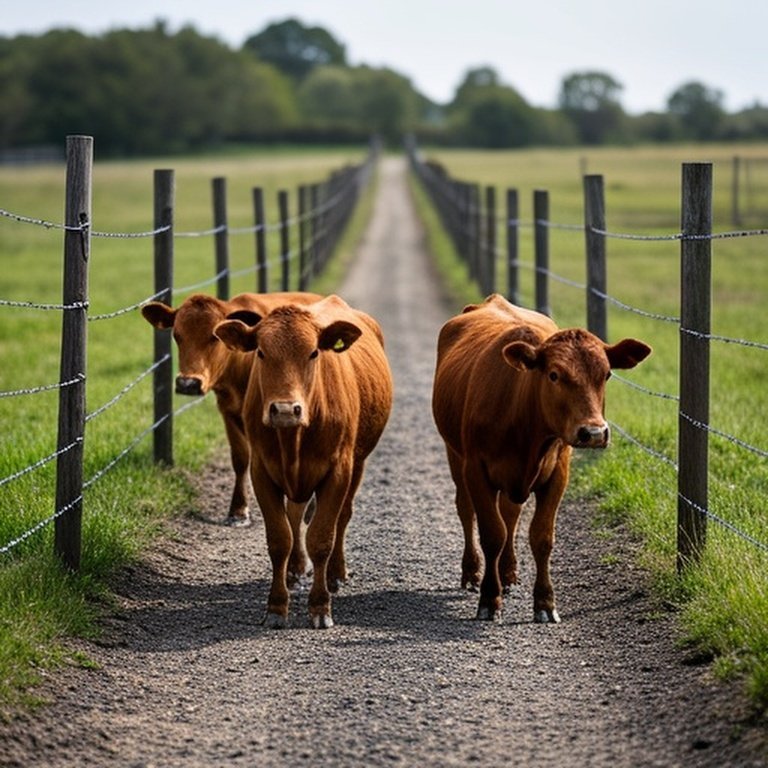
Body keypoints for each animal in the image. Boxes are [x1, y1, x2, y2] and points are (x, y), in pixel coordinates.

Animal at [214, 294, 393, 629]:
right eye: (261, 352)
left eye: (313, 353)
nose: (285, 410)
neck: (293, 438)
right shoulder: (262, 471)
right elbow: (279, 538)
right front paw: (276, 606)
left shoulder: (338, 472)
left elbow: (322, 538)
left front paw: (320, 606)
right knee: (295, 515)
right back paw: (294, 570)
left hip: (358, 463)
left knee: (343, 516)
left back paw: (336, 573)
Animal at [432, 294, 651, 624]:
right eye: (554, 375)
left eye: (607, 374)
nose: (594, 432)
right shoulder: (476, 470)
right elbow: (491, 533)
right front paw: (489, 598)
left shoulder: (558, 474)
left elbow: (541, 537)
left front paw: (545, 602)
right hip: (455, 455)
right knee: (466, 509)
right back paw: (472, 572)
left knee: (511, 514)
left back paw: (508, 572)